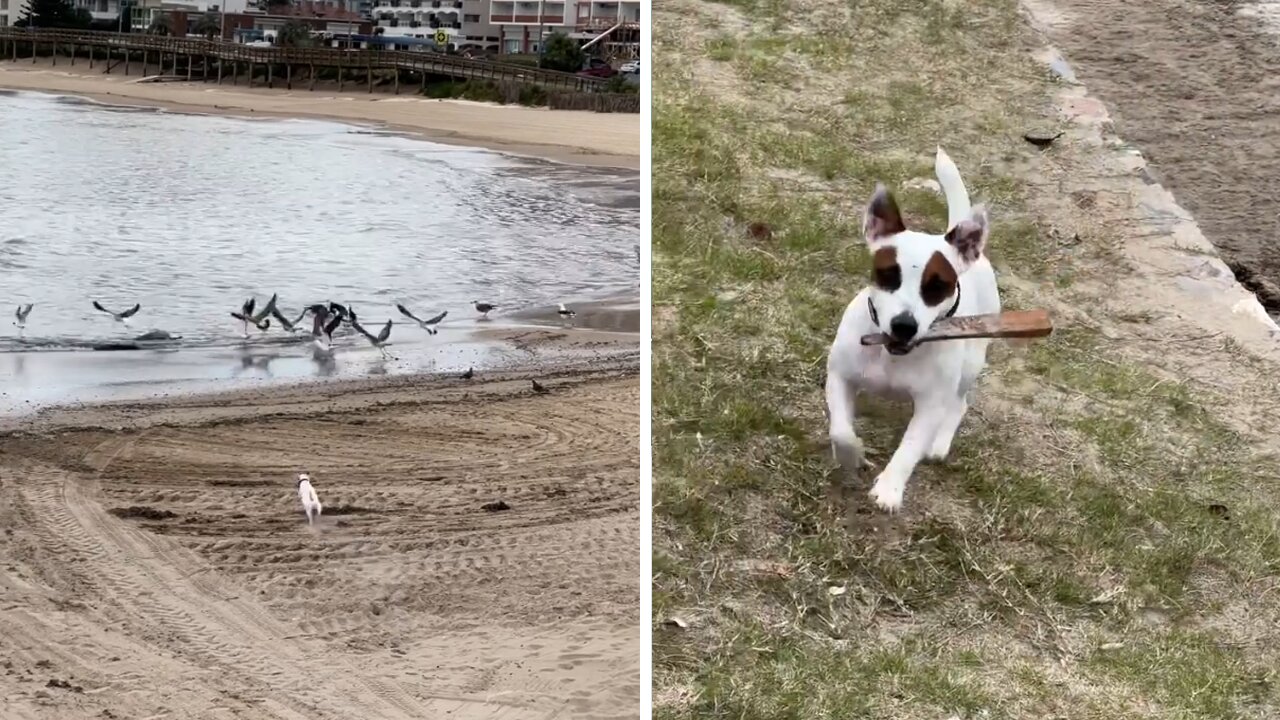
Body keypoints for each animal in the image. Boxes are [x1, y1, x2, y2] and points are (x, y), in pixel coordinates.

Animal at [824, 148, 1003, 512]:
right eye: (888, 274)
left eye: (937, 286)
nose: (904, 325)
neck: (891, 355)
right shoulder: (839, 376)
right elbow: (841, 431)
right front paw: (852, 456)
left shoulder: (931, 406)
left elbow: (909, 449)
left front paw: (890, 489)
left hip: (970, 364)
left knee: (958, 404)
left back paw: (939, 443)